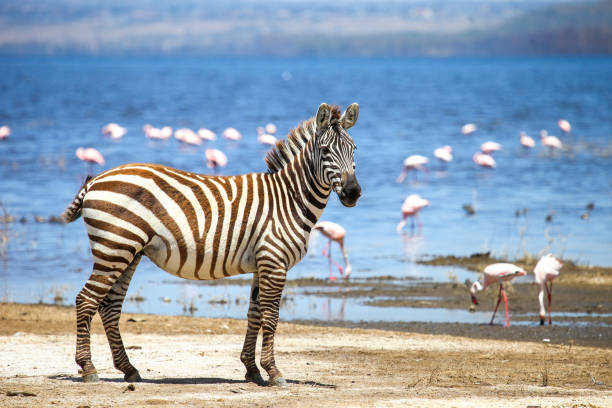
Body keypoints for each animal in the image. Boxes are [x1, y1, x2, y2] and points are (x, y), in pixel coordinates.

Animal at [60, 102, 360, 386]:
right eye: (325, 151)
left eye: (354, 150)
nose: (353, 193)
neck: (289, 199)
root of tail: (96, 179)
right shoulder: (274, 262)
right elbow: (271, 317)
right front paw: (274, 371)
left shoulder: (260, 263)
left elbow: (254, 314)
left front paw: (252, 369)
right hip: (114, 248)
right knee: (86, 300)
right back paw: (88, 368)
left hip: (128, 252)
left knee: (109, 306)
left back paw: (129, 369)